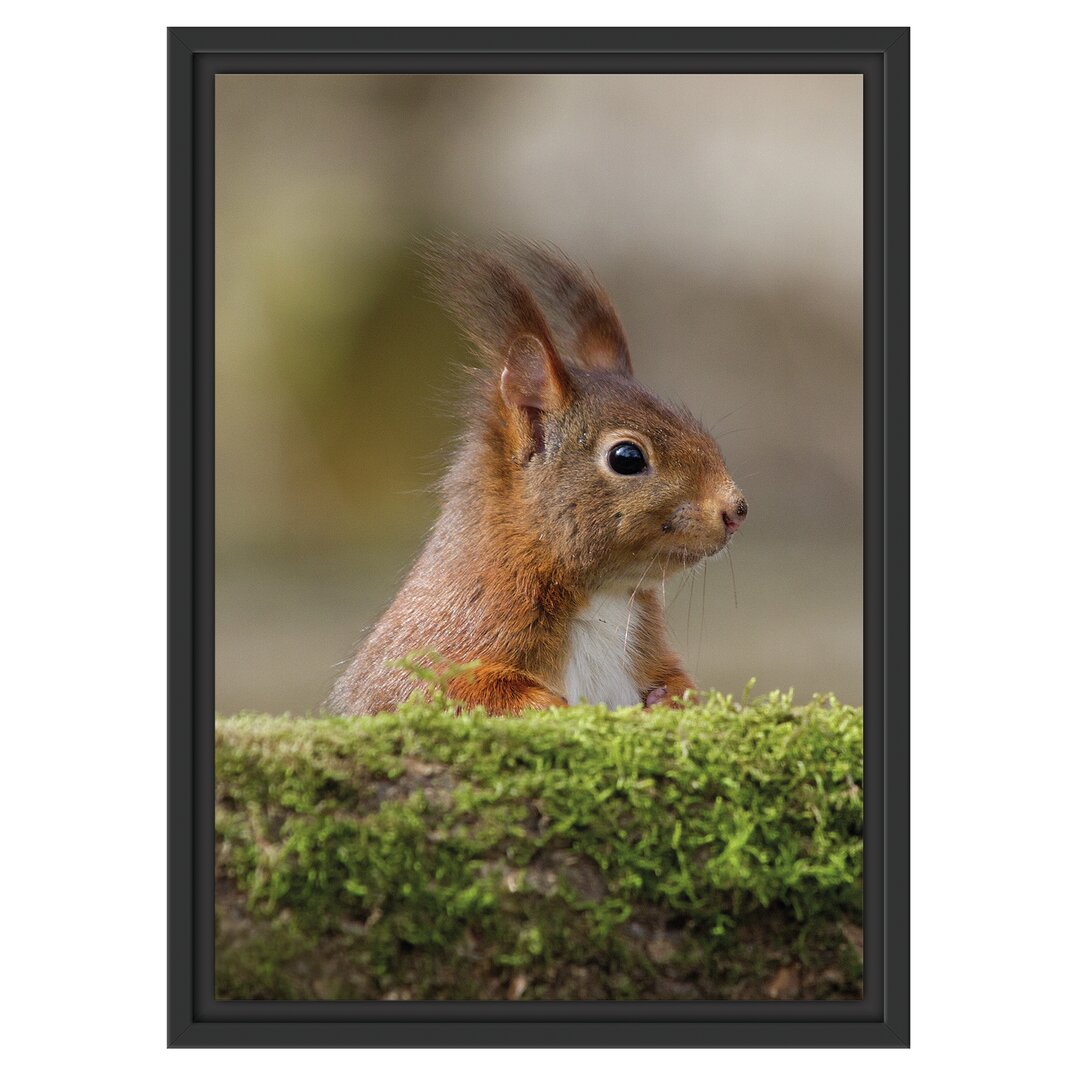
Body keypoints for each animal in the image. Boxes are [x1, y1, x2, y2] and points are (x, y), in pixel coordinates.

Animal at [328, 239, 747, 712]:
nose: (736, 509)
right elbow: (453, 691)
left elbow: (676, 681)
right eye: (626, 457)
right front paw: (552, 706)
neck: (603, 597)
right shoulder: (446, 642)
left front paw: (671, 699)